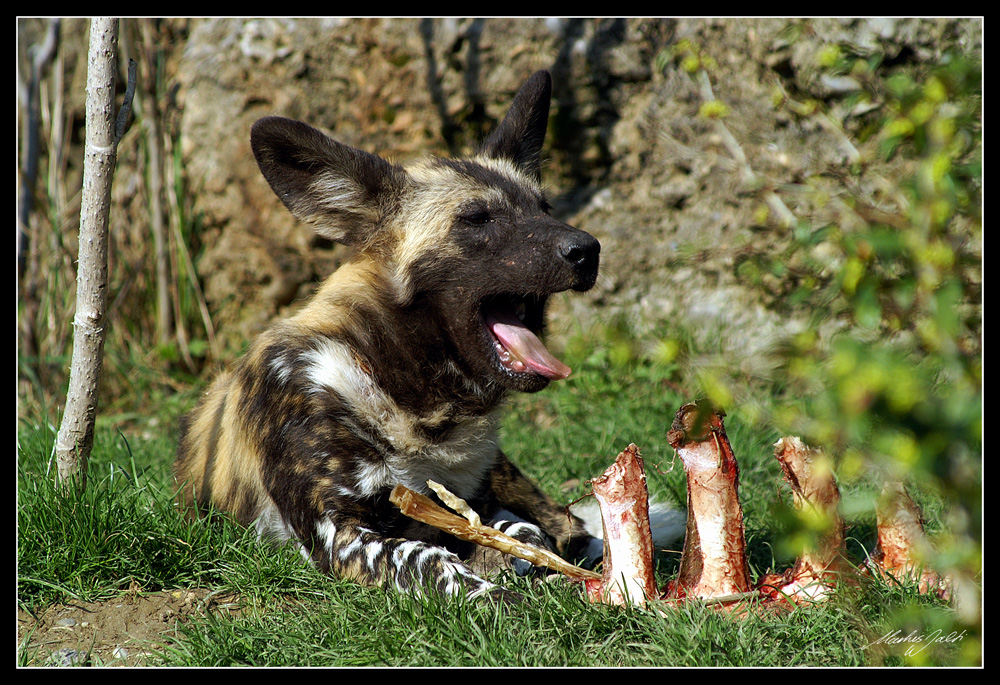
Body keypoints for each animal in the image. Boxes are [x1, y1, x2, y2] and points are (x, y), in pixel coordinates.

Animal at [174, 71, 600, 600]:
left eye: (545, 208)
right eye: (478, 218)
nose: (587, 249)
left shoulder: (474, 504)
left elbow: (522, 533)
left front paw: (522, 568)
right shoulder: (339, 534)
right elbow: (428, 558)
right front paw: (494, 595)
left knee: (567, 526)